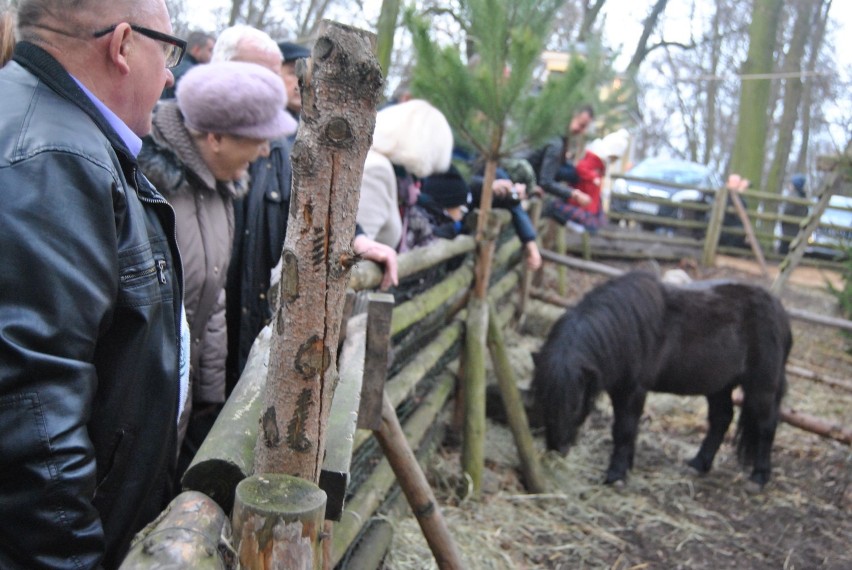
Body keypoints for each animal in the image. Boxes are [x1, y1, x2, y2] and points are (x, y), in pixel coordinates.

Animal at [532, 270, 792, 484]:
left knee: (766, 425)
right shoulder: (619, 389)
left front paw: (616, 474)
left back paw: (759, 476)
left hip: (762, 387)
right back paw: (699, 464)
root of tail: (779, 310)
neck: (628, 327)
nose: (557, 449)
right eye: (543, 400)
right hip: (719, 386)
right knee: (721, 419)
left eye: (575, 404)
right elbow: (624, 428)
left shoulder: (634, 390)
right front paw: (626, 465)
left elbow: (624, 429)